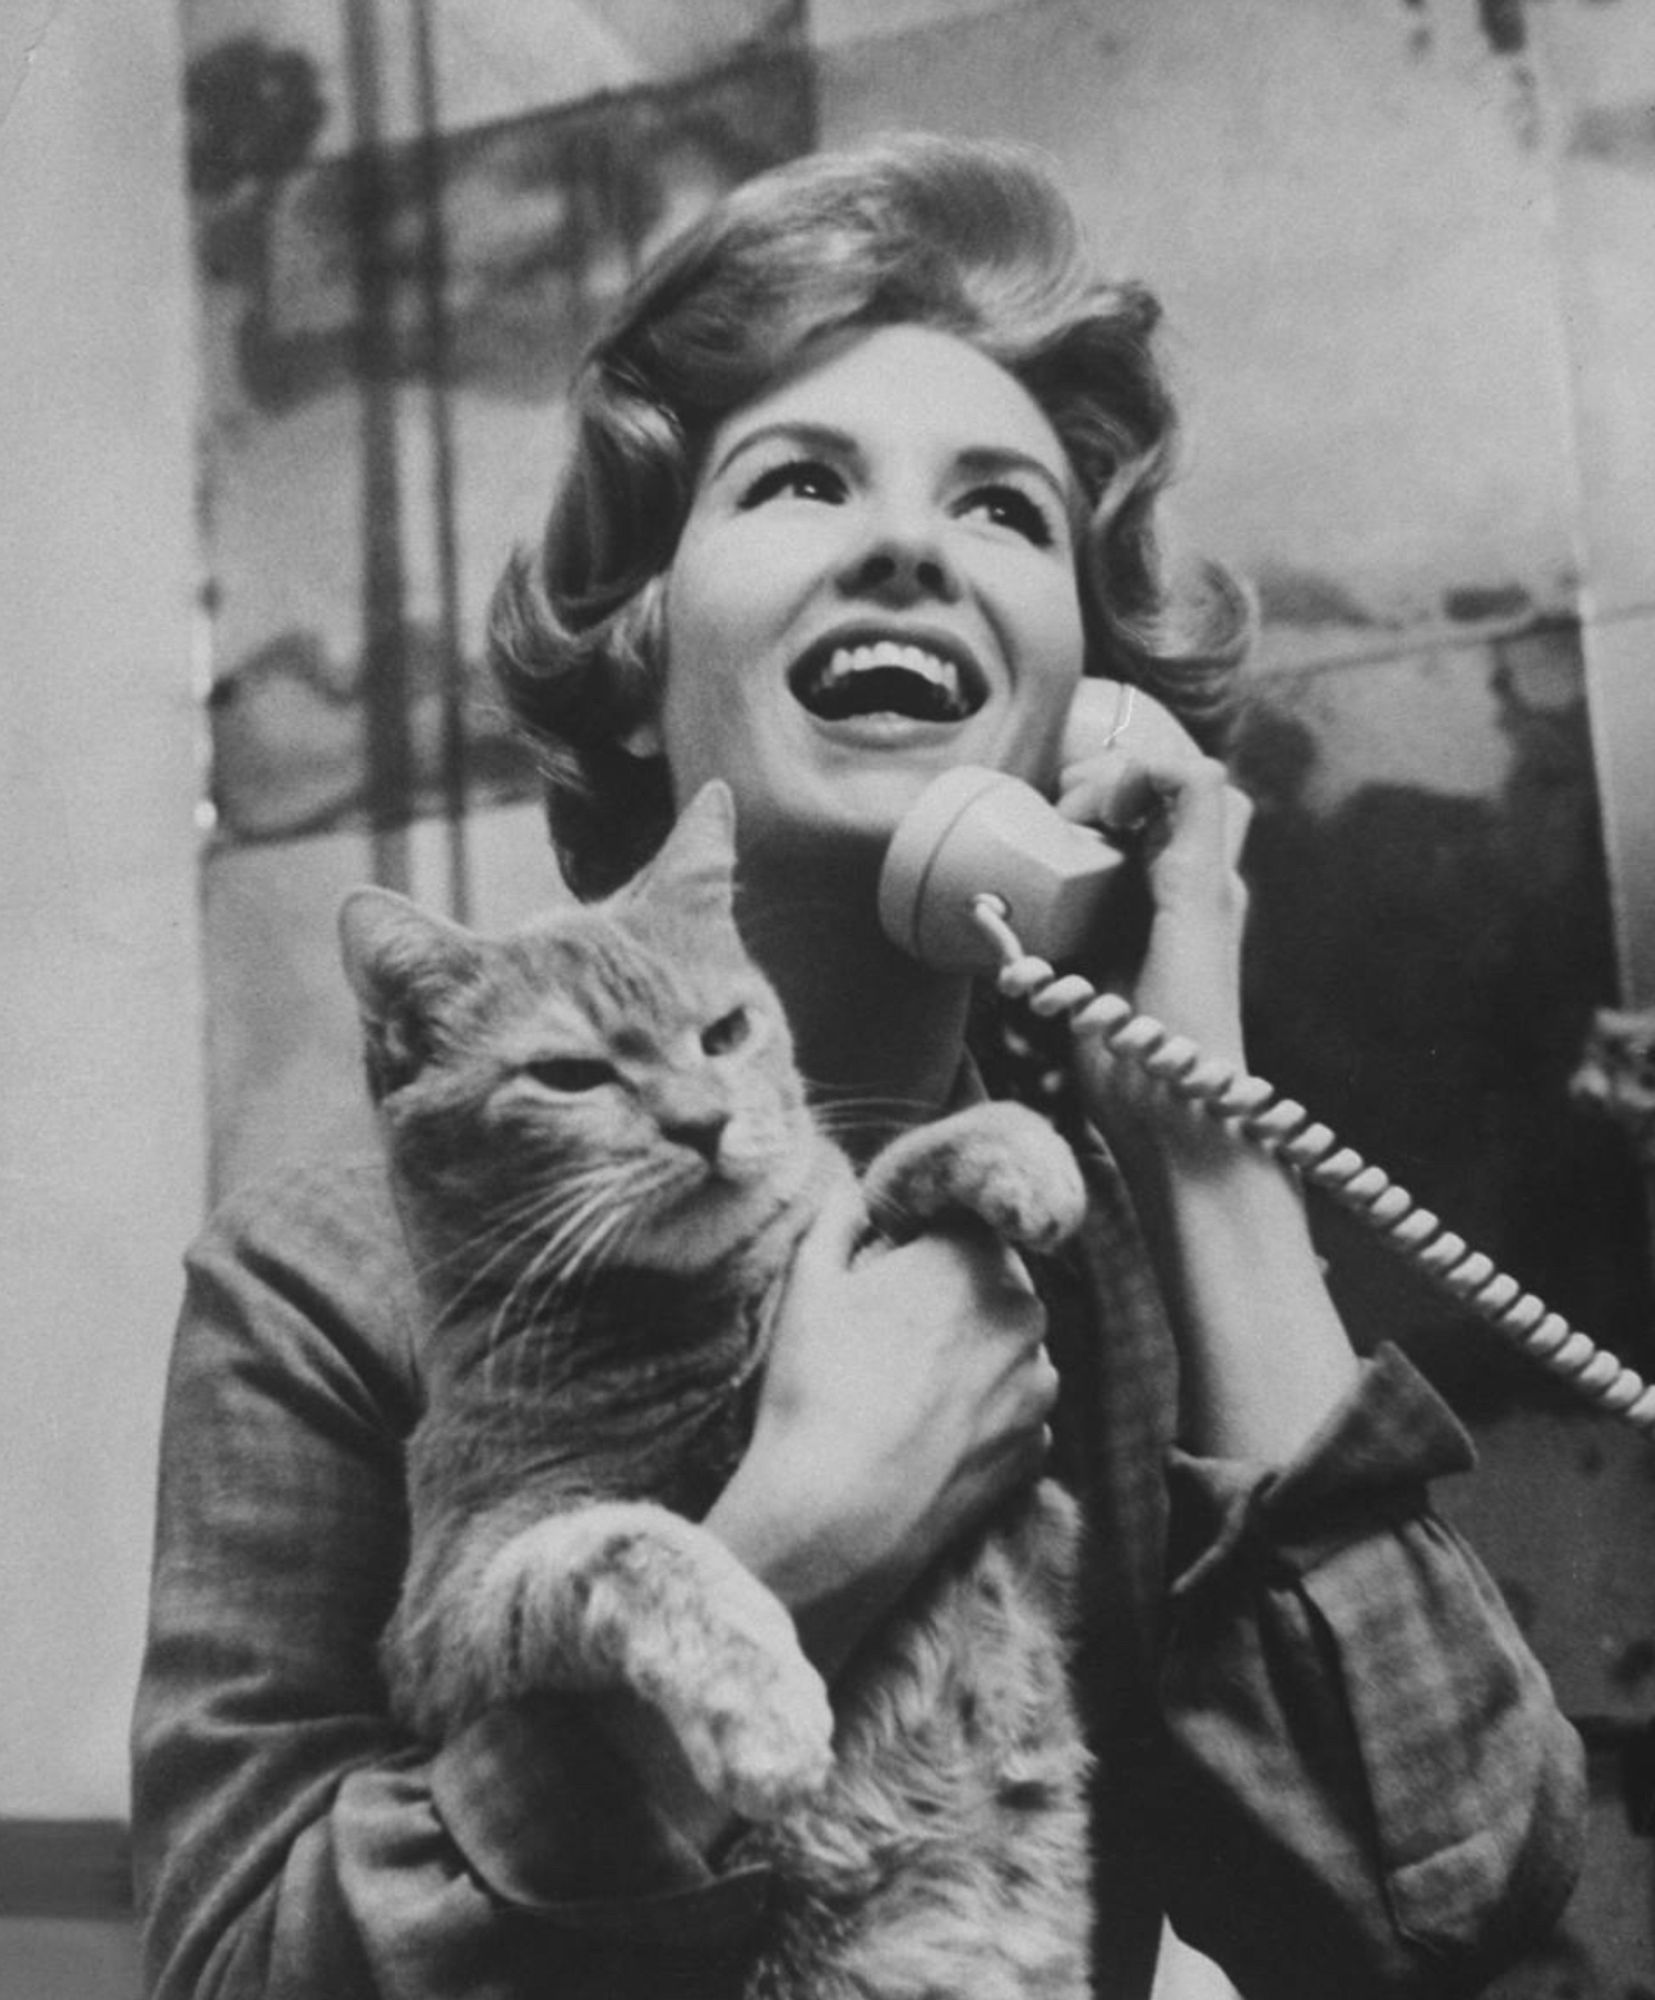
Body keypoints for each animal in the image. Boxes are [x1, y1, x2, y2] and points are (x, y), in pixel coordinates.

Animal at [337, 780, 1095, 2000]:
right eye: (570, 1076)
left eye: (724, 1034)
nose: (701, 1121)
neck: (712, 1319)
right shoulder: (449, 1616)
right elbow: (642, 1542)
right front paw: (766, 1704)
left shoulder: (1038, 1521)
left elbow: (870, 1178)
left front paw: (1016, 1149)